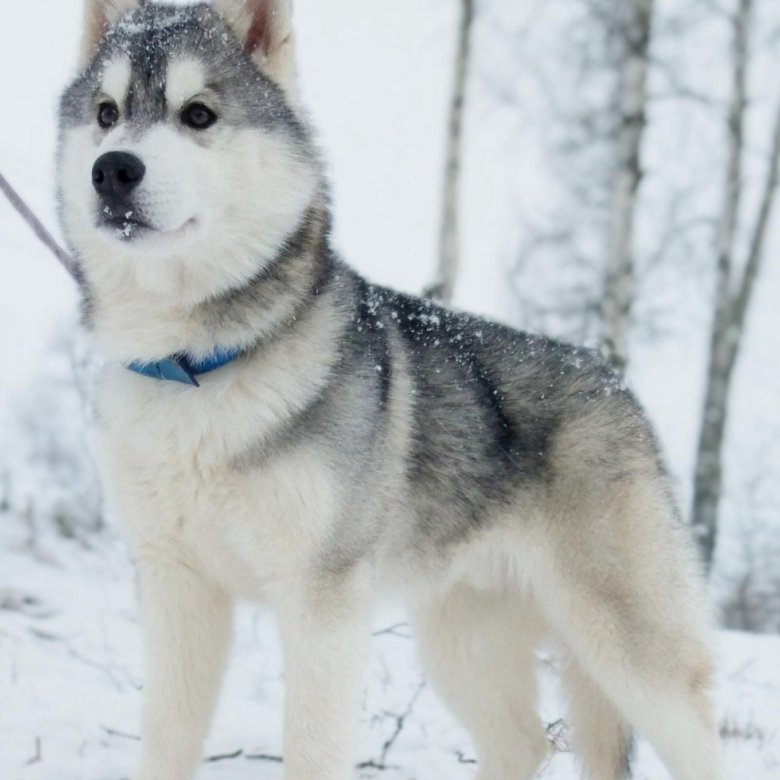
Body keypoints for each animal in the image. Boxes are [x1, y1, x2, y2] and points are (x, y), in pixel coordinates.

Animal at [58, 1, 728, 780]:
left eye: (198, 113)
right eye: (106, 113)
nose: (113, 170)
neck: (197, 362)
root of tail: (615, 380)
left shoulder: (322, 604)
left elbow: (311, 749)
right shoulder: (175, 586)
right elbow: (166, 739)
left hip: (630, 645)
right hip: (460, 634)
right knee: (522, 741)